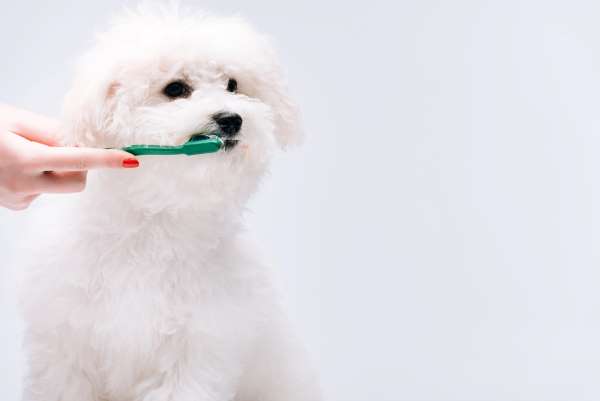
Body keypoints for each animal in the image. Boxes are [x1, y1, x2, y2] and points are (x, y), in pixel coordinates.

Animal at [16, 5, 322, 400]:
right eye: (175, 89)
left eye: (233, 85)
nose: (231, 119)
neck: (154, 222)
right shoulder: (65, 351)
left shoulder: (193, 354)